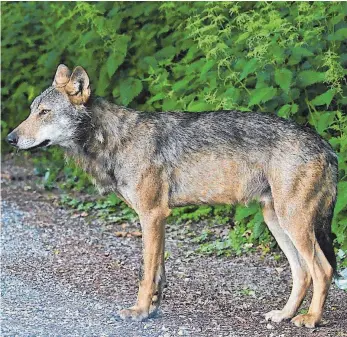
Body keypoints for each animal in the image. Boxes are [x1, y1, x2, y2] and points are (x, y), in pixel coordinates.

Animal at [7, 64, 340, 326]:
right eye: (31, 111)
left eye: (44, 113)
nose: (10, 138)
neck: (114, 140)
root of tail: (326, 145)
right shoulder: (159, 218)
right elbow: (158, 273)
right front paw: (152, 310)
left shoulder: (151, 215)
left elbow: (146, 273)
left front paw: (138, 312)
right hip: (276, 221)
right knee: (302, 273)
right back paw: (284, 315)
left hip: (293, 222)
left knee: (322, 270)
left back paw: (311, 319)